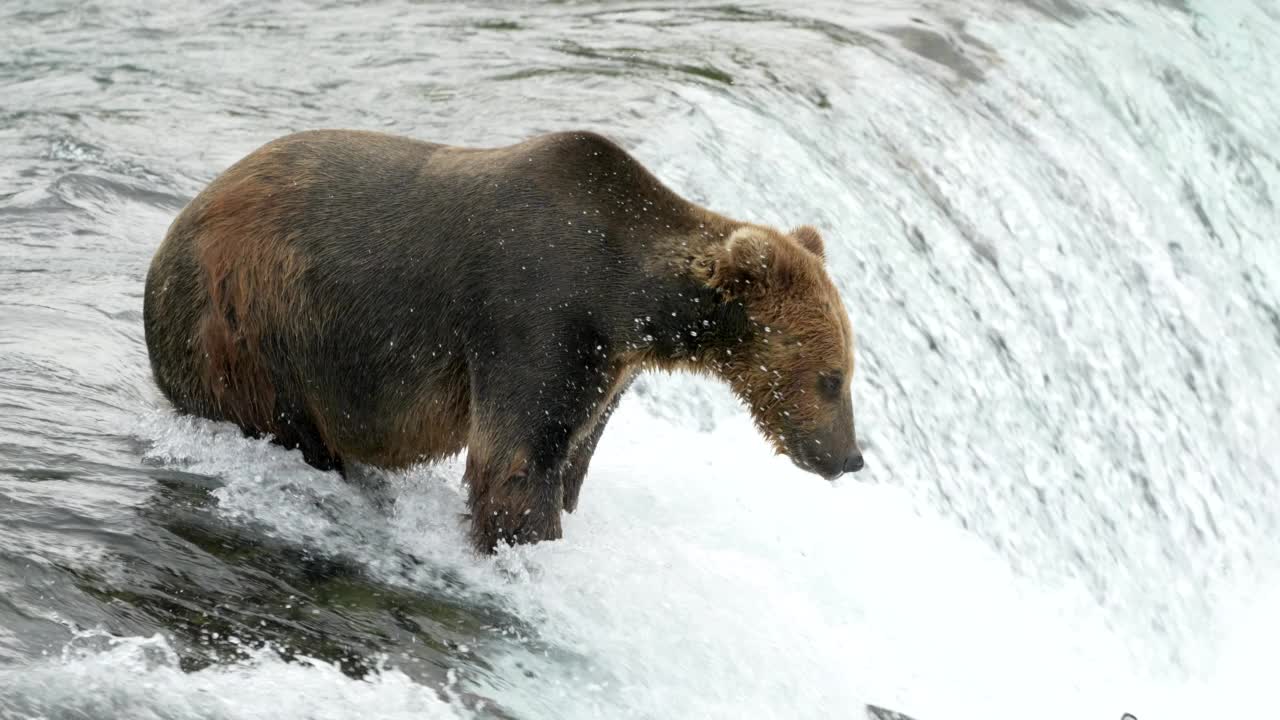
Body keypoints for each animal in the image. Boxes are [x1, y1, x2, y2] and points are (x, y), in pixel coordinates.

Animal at [145, 127, 865, 548]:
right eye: (832, 378)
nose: (849, 457)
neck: (628, 293)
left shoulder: (606, 359)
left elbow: (575, 449)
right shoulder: (534, 310)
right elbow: (516, 456)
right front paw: (527, 538)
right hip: (258, 325)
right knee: (288, 423)